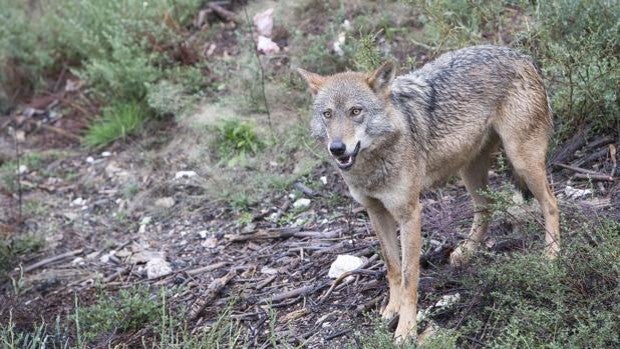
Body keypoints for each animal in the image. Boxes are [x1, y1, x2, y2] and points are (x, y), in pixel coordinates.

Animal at [298, 45, 560, 340]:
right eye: (328, 114)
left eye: (356, 111)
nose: (337, 148)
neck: (373, 165)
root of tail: (521, 55)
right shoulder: (376, 212)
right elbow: (392, 267)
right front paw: (391, 310)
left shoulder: (410, 214)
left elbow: (409, 276)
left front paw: (406, 329)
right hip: (470, 171)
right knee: (486, 208)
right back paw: (467, 252)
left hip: (522, 161)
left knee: (551, 203)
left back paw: (552, 255)